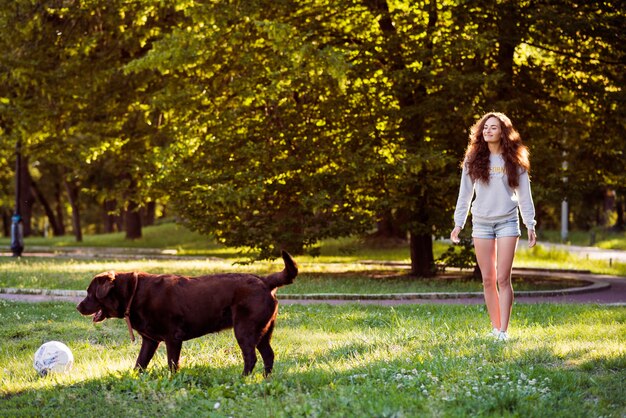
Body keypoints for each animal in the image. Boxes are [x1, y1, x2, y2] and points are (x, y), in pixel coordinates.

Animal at [76, 250, 298, 374]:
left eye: (89, 292)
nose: (78, 307)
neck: (134, 292)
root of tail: (265, 281)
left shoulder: (173, 338)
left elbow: (172, 364)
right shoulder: (150, 341)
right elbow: (140, 363)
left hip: (245, 329)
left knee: (251, 357)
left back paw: (243, 379)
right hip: (263, 331)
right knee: (269, 355)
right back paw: (265, 379)